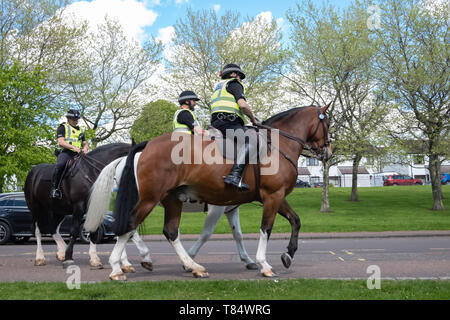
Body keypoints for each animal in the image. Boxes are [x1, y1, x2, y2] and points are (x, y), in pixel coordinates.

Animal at [86, 105, 330, 280]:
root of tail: (146, 146)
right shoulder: (269, 196)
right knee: (128, 225)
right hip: (149, 199)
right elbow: (264, 229)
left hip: (170, 200)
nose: (327, 151)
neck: (276, 147)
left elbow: (293, 221)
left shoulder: (271, 198)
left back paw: (191, 266)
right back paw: (118, 267)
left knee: (167, 231)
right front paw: (264, 264)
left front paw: (287, 254)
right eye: (327, 122)